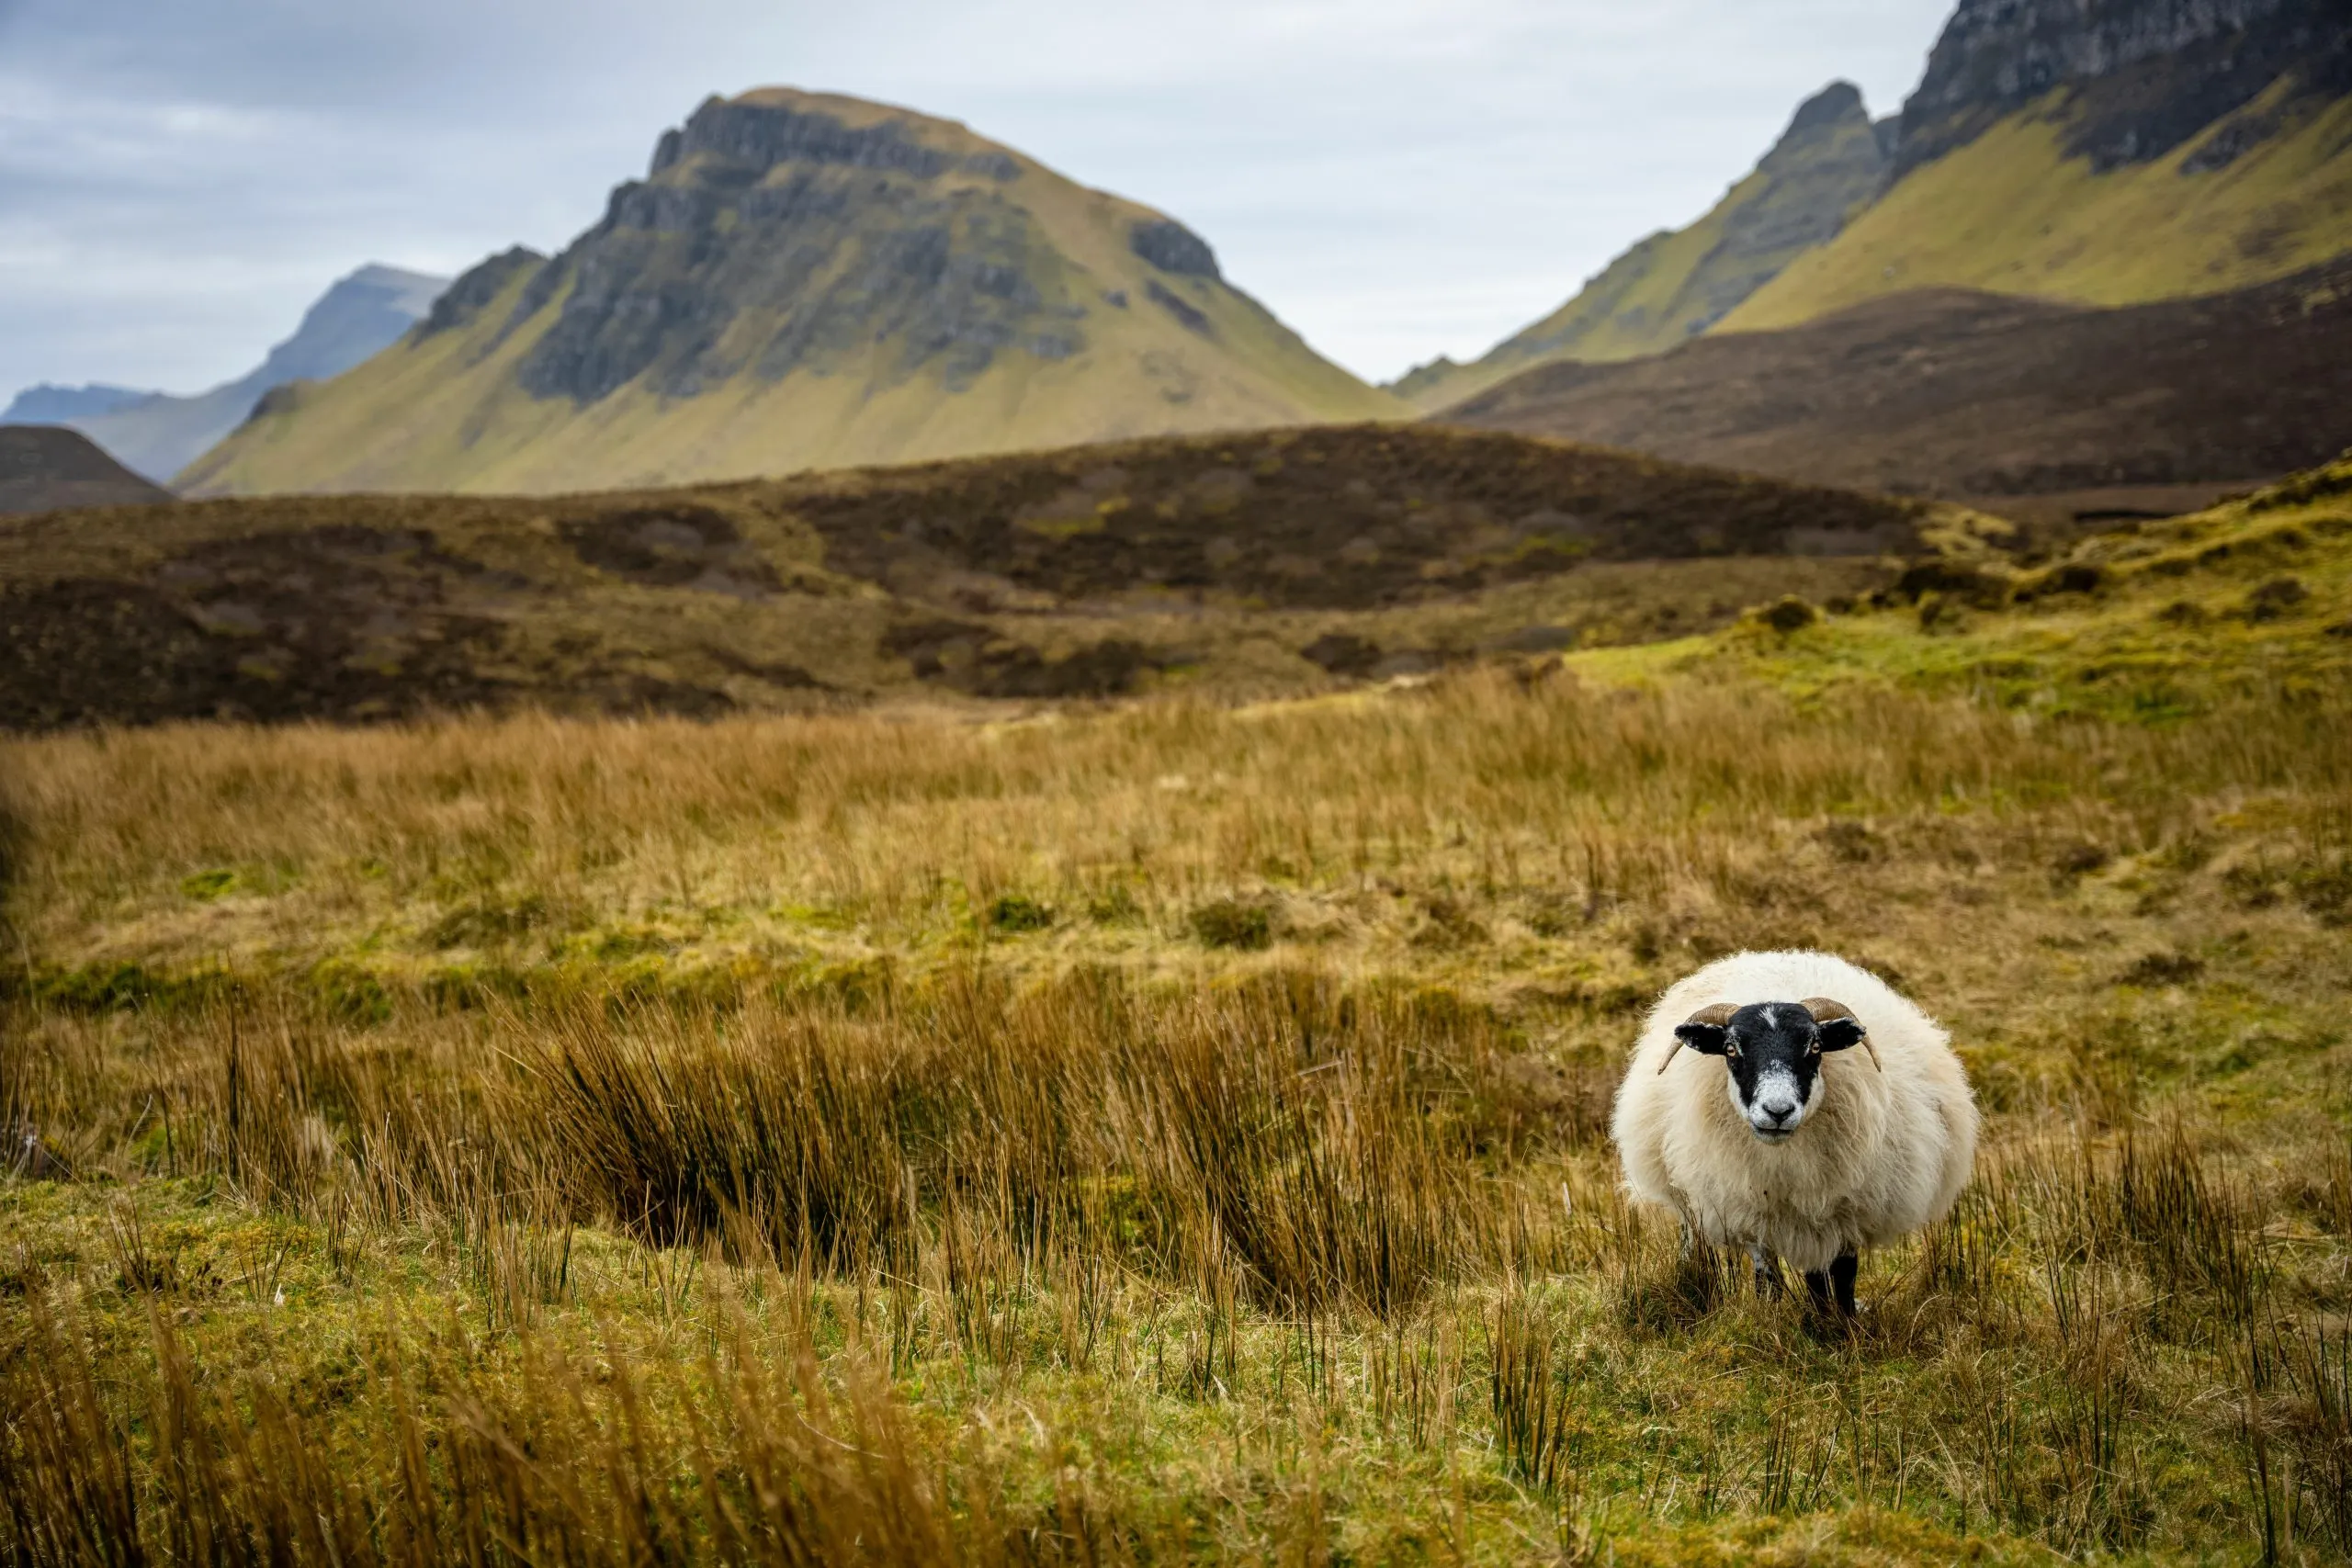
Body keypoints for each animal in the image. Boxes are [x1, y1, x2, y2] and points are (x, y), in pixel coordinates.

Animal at [1610, 949, 1976, 1315]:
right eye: (1730, 1049)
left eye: (1815, 1047)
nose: (1778, 1111)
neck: (1786, 1161)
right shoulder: (1750, 1213)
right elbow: (1768, 1280)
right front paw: (1771, 1319)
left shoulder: (1847, 1213)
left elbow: (1843, 1279)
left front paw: (1841, 1324)